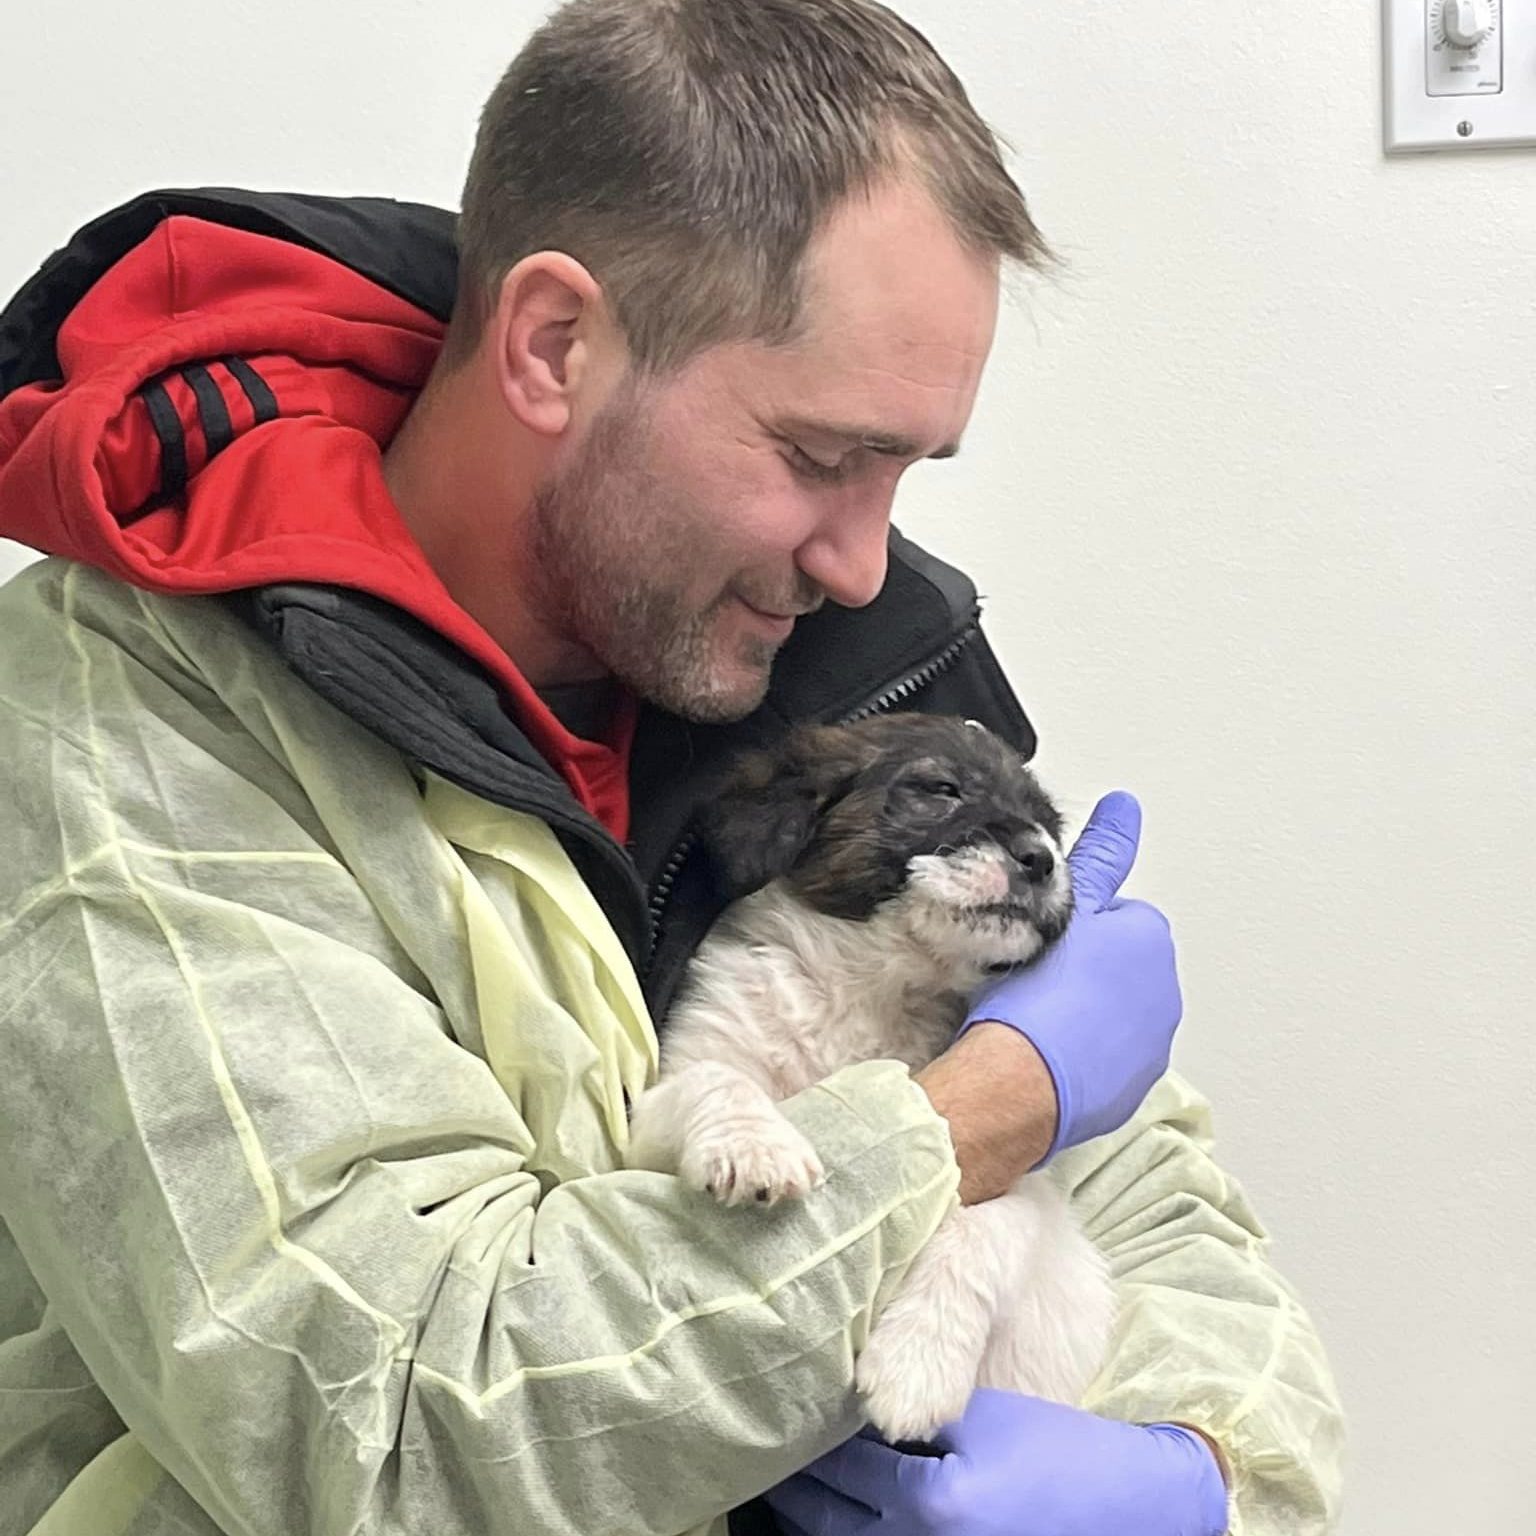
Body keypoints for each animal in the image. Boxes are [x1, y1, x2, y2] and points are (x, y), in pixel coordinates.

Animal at [626, 712, 1118, 1443]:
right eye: (942, 788)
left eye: (1050, 827)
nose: (1041, 859)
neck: (875, 986)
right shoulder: (658, 1108)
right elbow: (717, 1081)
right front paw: (754, 1145)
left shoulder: (1025, 1176)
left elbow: (985, 1227)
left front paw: (919, 1362)